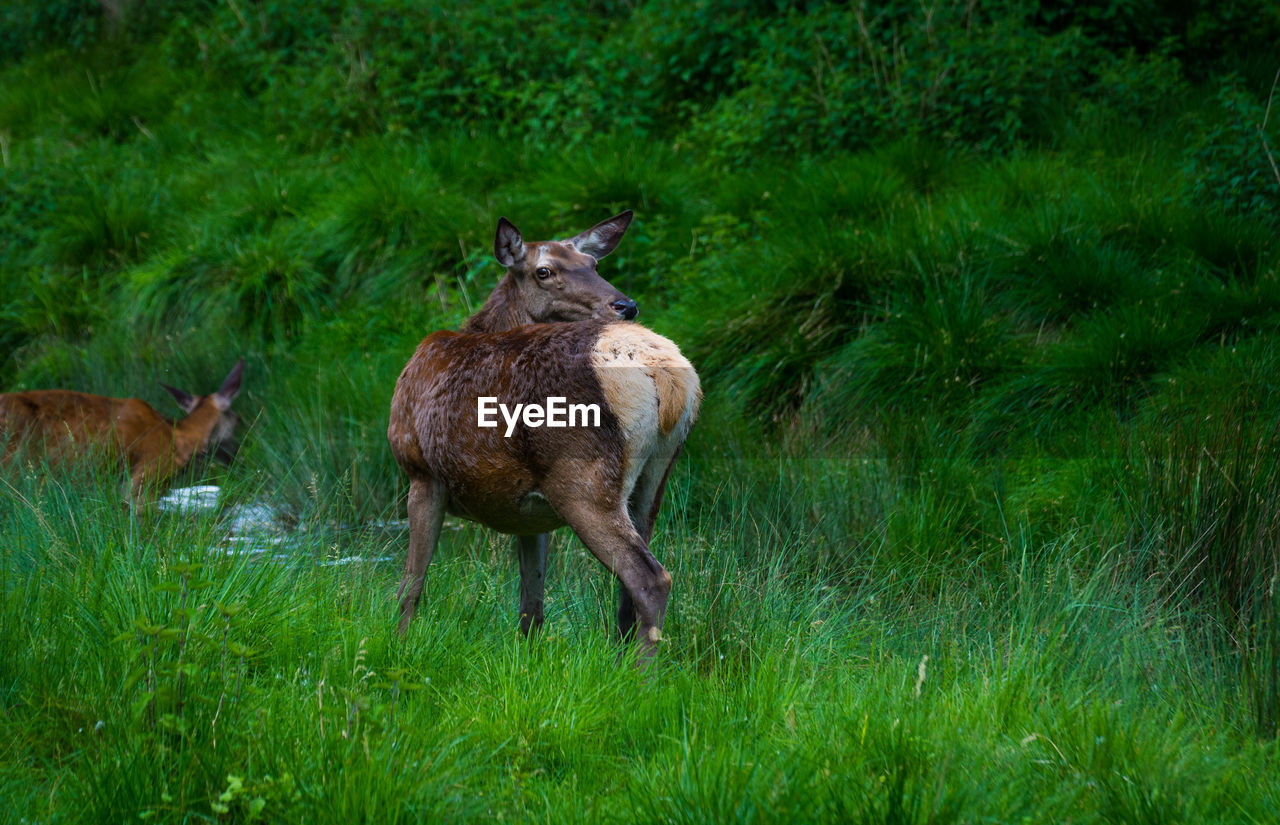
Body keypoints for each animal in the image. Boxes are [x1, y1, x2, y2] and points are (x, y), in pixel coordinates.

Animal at [386, 209, 701, 660]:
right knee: (629, 586)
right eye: (545, 271)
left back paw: (640, 673)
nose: (625, 305)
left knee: (650, 578)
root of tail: (667, 375)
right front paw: (528, 661)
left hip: (583, 479)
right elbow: (531, 605)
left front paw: (397, 646)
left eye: (593, 264)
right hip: (652, 481)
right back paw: (622, 661)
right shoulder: (531, 513)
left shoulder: (421, 472)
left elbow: (411, 585)